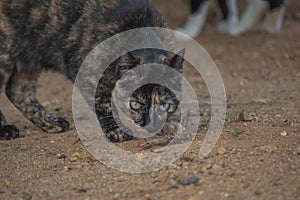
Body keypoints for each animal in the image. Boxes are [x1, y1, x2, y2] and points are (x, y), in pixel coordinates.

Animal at [0, 0, 184, 141]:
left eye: (164, 104)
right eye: (136, 104)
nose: (150, 124)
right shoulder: (88, 73)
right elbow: (104, 102)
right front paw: (116, 130)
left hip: (30, 56)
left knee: (16, 90)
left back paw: (51, 123)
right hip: (6, 50)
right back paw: (6, 129)